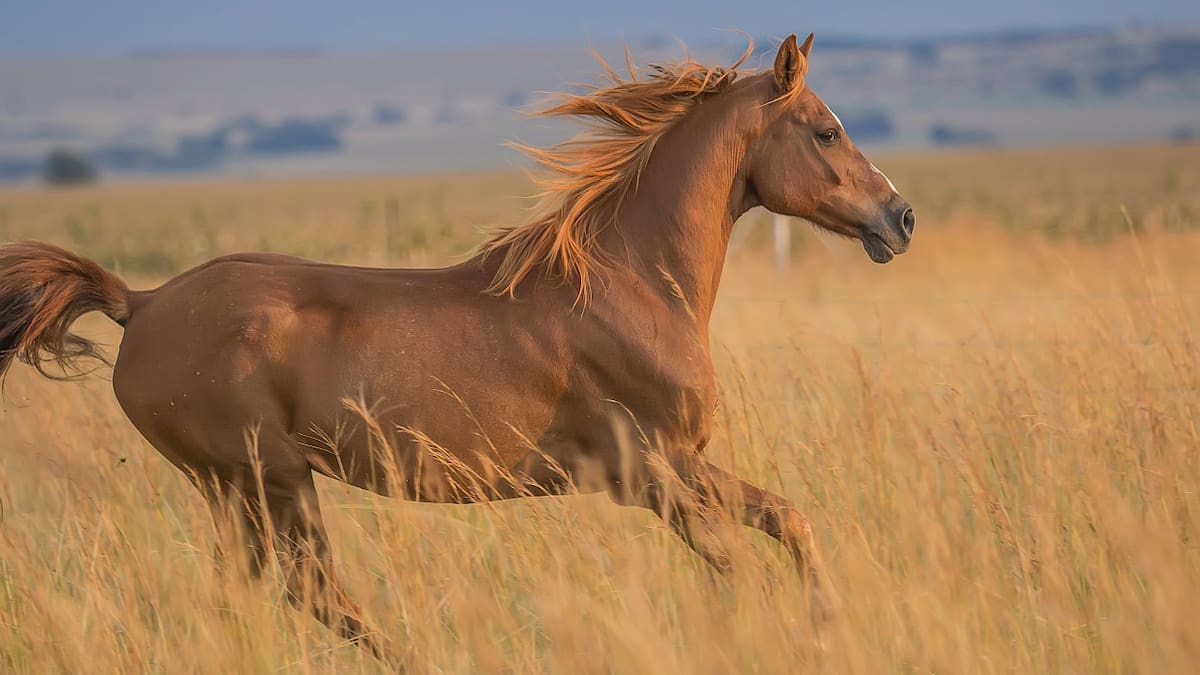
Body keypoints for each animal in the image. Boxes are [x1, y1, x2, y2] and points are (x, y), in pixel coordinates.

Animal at [0, 33, 913, 662]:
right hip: (266, 478)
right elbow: (741, 567)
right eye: (826, 132)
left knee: (259, 593)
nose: (900, 218)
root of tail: (142, 302)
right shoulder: (651, 472)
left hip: (239, 490)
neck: (631, 282)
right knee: (314, 591)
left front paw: (830, 622)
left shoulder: (684, 464)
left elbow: (789, 519)